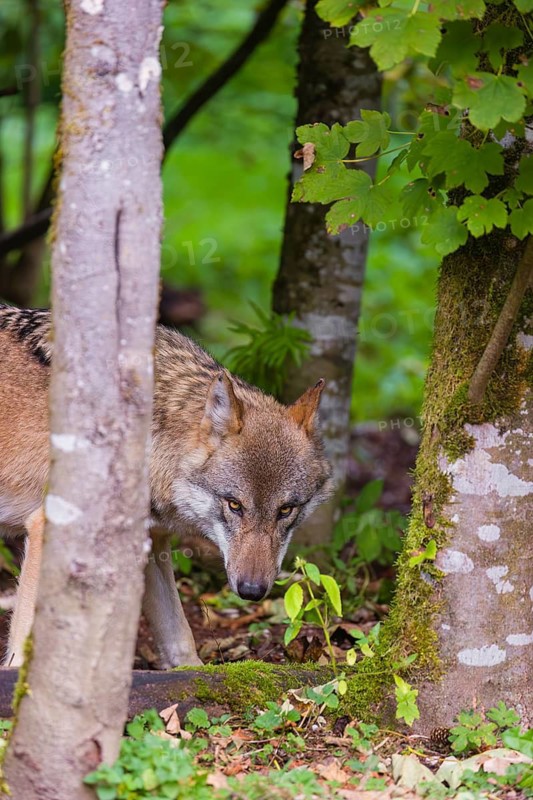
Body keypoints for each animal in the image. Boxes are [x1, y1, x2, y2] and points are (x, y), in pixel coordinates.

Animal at [0, 305, 331, 668]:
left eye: (286, 510)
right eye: (234, 505)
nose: (252, 590)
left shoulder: (150, 543)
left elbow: (180, 637)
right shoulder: (47, 529)